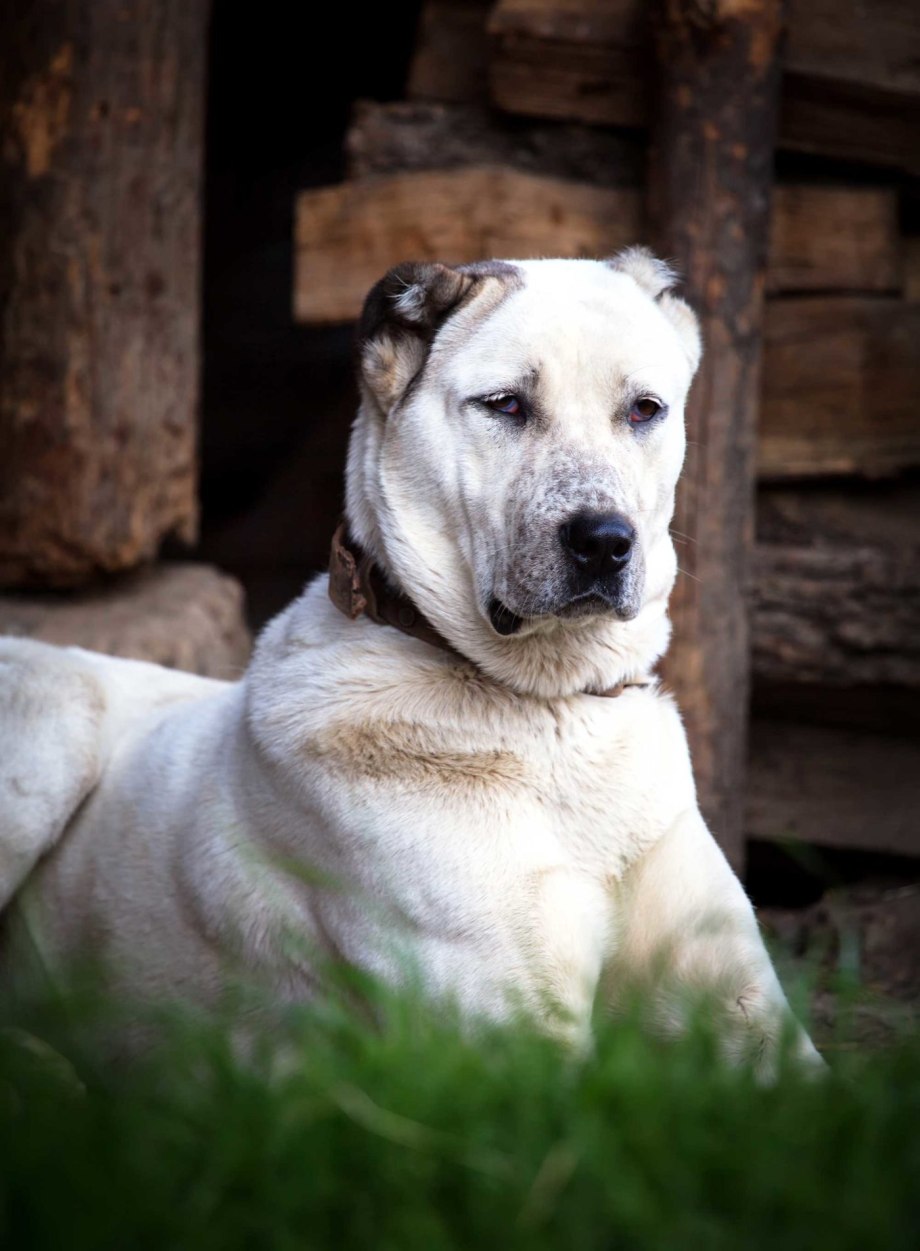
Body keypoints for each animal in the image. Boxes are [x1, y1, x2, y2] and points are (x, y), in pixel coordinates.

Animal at [0, 248, 821, 1070]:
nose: (604, 541)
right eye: (505, 405)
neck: (552, 714)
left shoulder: (754, 1017)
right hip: (59, 717)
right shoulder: (516, 1044)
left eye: (645, 409)